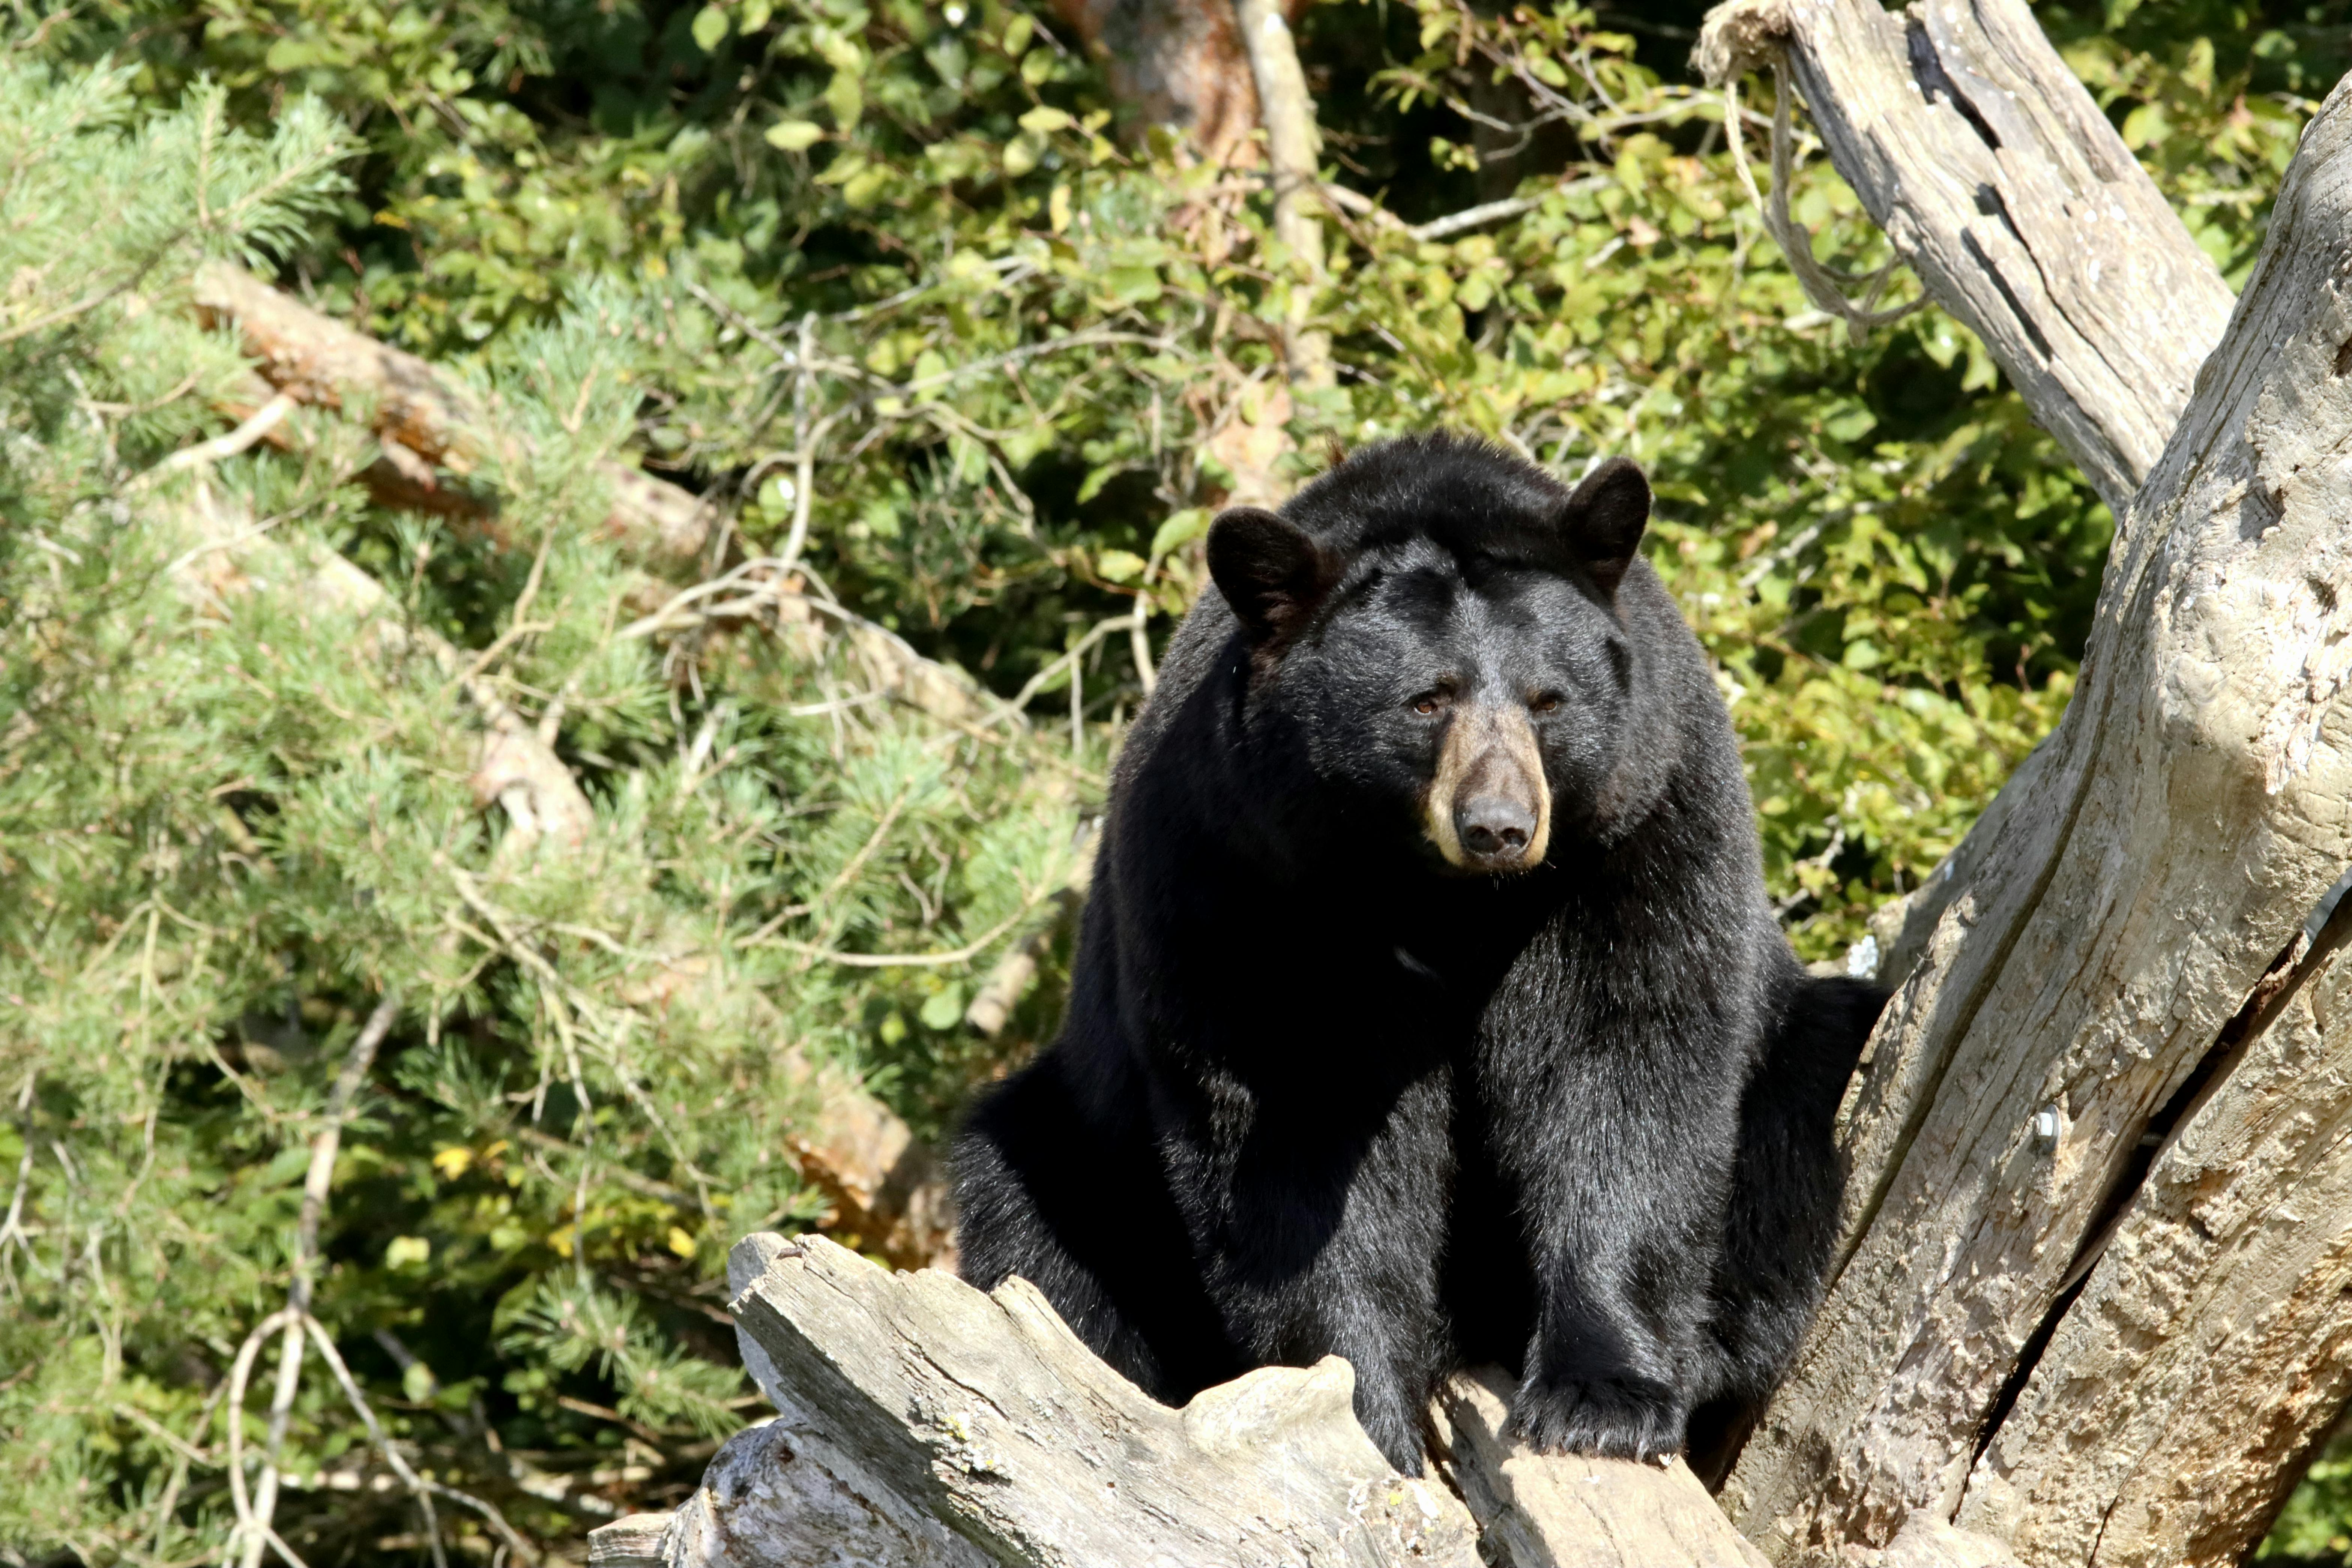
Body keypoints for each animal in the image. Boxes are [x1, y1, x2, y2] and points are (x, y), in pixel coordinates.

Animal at [951, 433, 1883, 1476]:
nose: (1499, 826)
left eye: (1547, 701)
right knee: (1036, 1221)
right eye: (1426, 701)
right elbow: (1297, 1126)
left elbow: (1625, 1061)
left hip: (1796, 1050)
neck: (1438, 894)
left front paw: (1602, 1397)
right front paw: (1364, 1414)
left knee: (1796, 1114)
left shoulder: (1639, 823)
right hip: (1086, 1151)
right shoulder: (1240, 869)